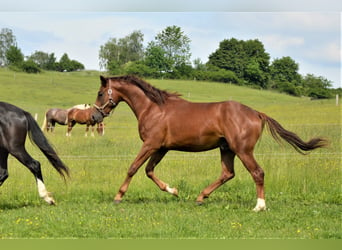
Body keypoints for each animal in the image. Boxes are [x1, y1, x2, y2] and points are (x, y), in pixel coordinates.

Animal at [92, 74, 328, 211]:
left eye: (101, 93)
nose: (94, 116)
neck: (153, 108)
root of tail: (257, 113)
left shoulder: (151, 145)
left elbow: (133, 168)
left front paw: (118, 197)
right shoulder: (161, 148)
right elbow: (149, 171)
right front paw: (174, 191)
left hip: (243, 150)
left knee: (257, 173)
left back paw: (259, 207)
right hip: (227, 149)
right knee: (227, 173)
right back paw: (200, 197)